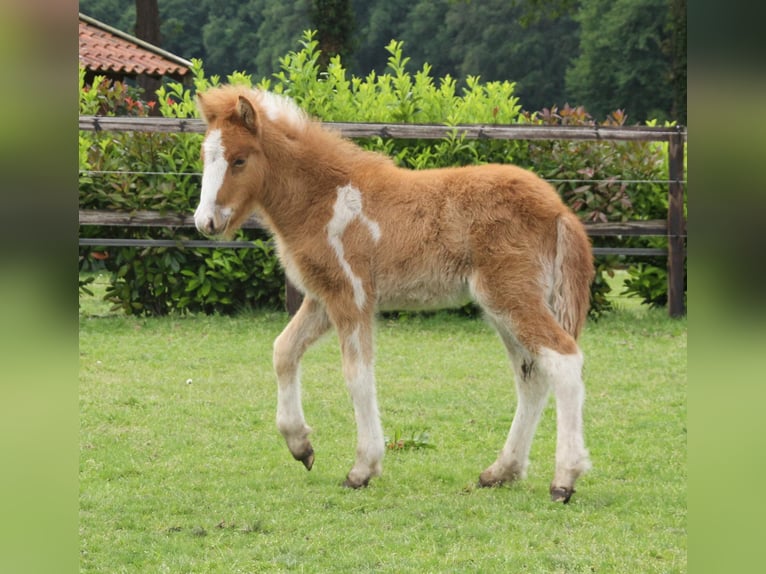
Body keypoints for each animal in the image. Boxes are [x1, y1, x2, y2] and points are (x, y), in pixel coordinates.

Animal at [194, 85, 600, 504]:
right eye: (205, 157)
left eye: (239, 160)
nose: (205, 222)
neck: (325, 198)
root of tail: (559, 209)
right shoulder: (322, 299)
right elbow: (283, 351)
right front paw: (301, 445)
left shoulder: (352, 295)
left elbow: (357, 374)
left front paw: (362, 469)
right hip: (502, 308)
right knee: (531, 377)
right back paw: (501, 472)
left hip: (512, 297)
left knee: (564, 360)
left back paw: (564, 479)